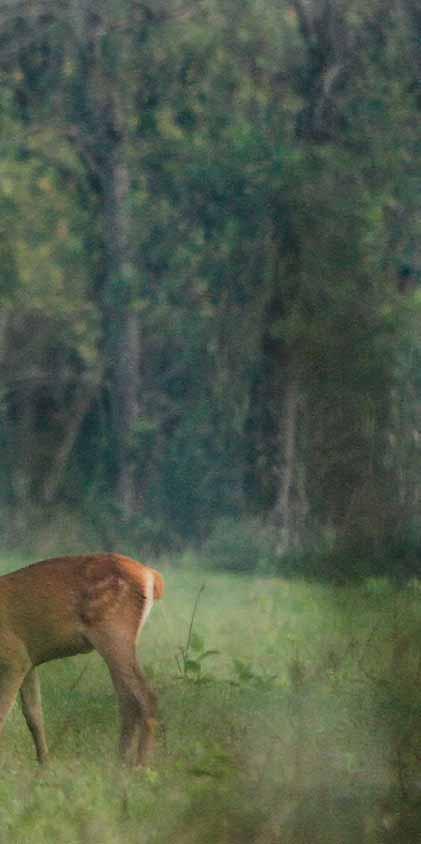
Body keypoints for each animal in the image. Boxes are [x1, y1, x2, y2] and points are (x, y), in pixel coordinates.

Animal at [0, 552, 164, 764]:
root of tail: (151, 575)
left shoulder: (15, 654)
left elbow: (3, 712)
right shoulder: (29, 659)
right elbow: (34, 714)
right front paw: (44, 763)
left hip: (113, 633)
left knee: (146, 696)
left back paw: (140, 765)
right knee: (128, 699)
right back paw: (120, 761)